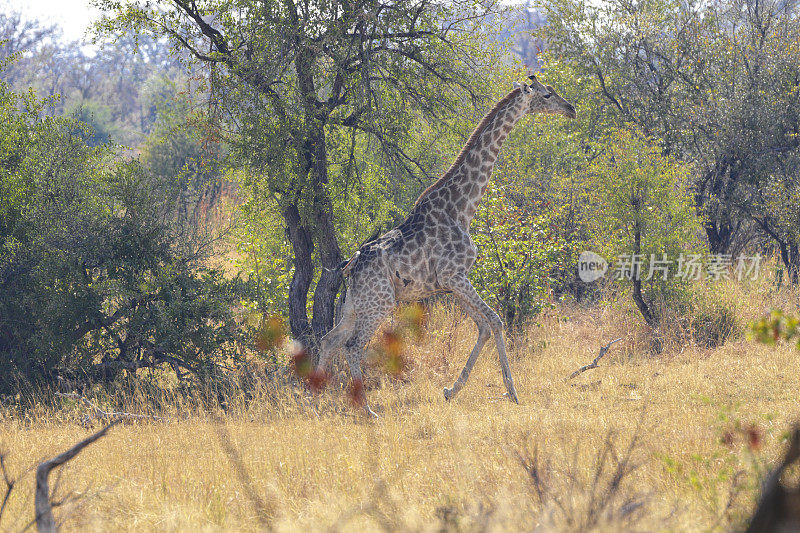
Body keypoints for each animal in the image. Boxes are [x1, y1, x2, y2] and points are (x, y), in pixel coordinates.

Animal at [316, 75, 580, 416]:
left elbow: (483, 326)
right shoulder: (454, 276)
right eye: (547, 94)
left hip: (355, 302)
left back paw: (313, 397)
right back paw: (367, 410)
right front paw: (512, 391)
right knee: (352, 345)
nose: (571, 108)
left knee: (328, 340)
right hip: (381, 303)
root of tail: (351, 265)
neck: (462, 209)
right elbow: (496, 321)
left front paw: (450, 390)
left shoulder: (450, 283)